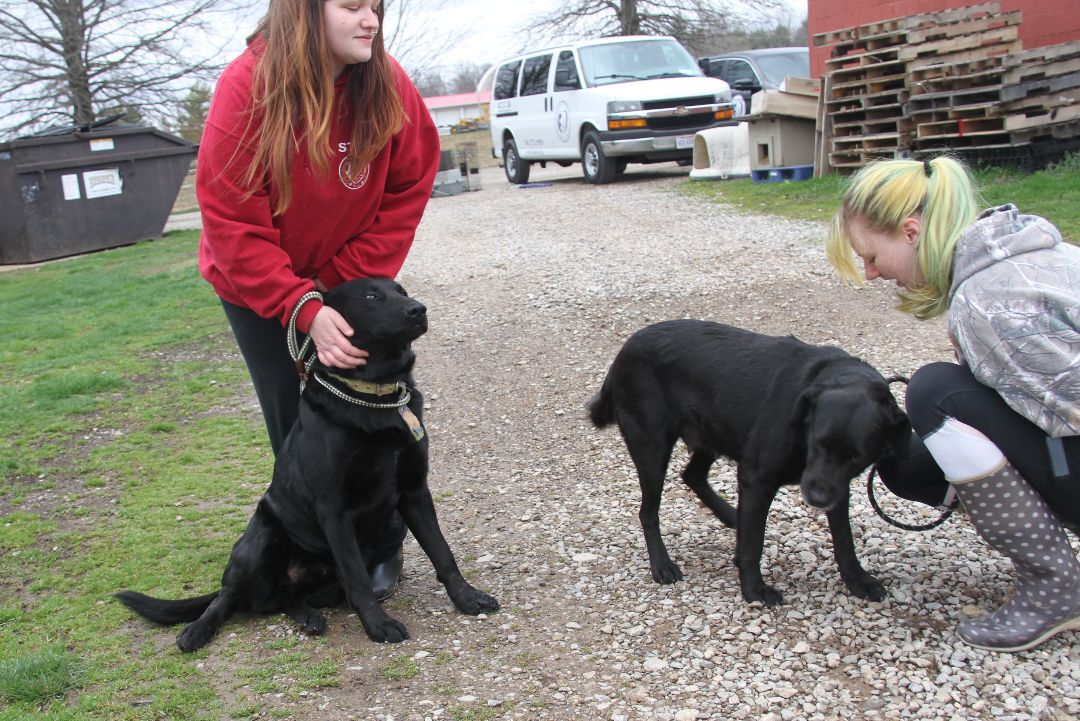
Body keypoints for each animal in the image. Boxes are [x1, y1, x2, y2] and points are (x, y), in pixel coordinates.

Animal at [120, 278, 498, 651]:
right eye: (371, 296)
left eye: (402, 293)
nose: (418, 309)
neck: (374, 396)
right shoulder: (333, 508)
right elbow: (358, 578)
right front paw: (379, 625)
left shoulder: (415, 490)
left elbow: (442, 553)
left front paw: (467, 598)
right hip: (262, 539)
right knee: (228, 597)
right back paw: (198, 630)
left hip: (323, 582)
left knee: (278, 600)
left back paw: (308, 616)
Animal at [591, 317, 911, 604]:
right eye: (818, 442)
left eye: (856, 456)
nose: (817, 499)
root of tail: (625, 349)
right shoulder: (758, 478)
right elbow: (753, 545)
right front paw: (754, 590)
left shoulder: (836, 487)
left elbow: (844, 539)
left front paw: (858, 580)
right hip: (653, 448)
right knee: (648, 512)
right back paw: (662, 565)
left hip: (714, 431)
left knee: (692, 476)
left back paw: (731, 516)